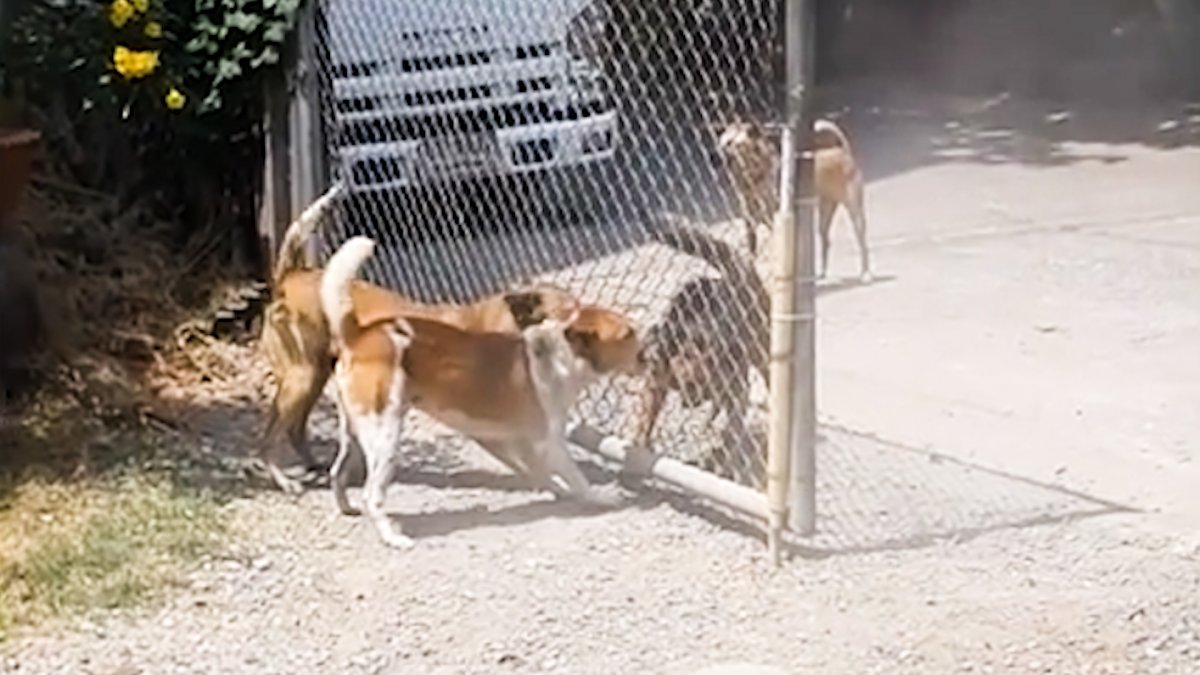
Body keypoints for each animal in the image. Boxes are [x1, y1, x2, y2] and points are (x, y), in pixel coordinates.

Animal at [260, 186, 578, 492]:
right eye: (570, 312)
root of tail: (291, 275)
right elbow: (533, 461)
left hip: (313, 378)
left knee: (294, 429)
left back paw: (316, 466)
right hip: (303, 378)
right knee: (270, 435)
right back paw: (284, 480)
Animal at [314, 234, 643, 542]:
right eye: (627, 334)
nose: (648, 349)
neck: (558, 352)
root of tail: (359, 334)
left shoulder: (519, 443)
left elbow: (540, 473)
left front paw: (556, 491)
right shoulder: (549, 443)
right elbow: (577, 478)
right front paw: (600, 498)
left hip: (355, 431)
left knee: (337, 473)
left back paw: (347, 508)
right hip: (386, 436)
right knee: (372, 494)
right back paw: (393, 537)